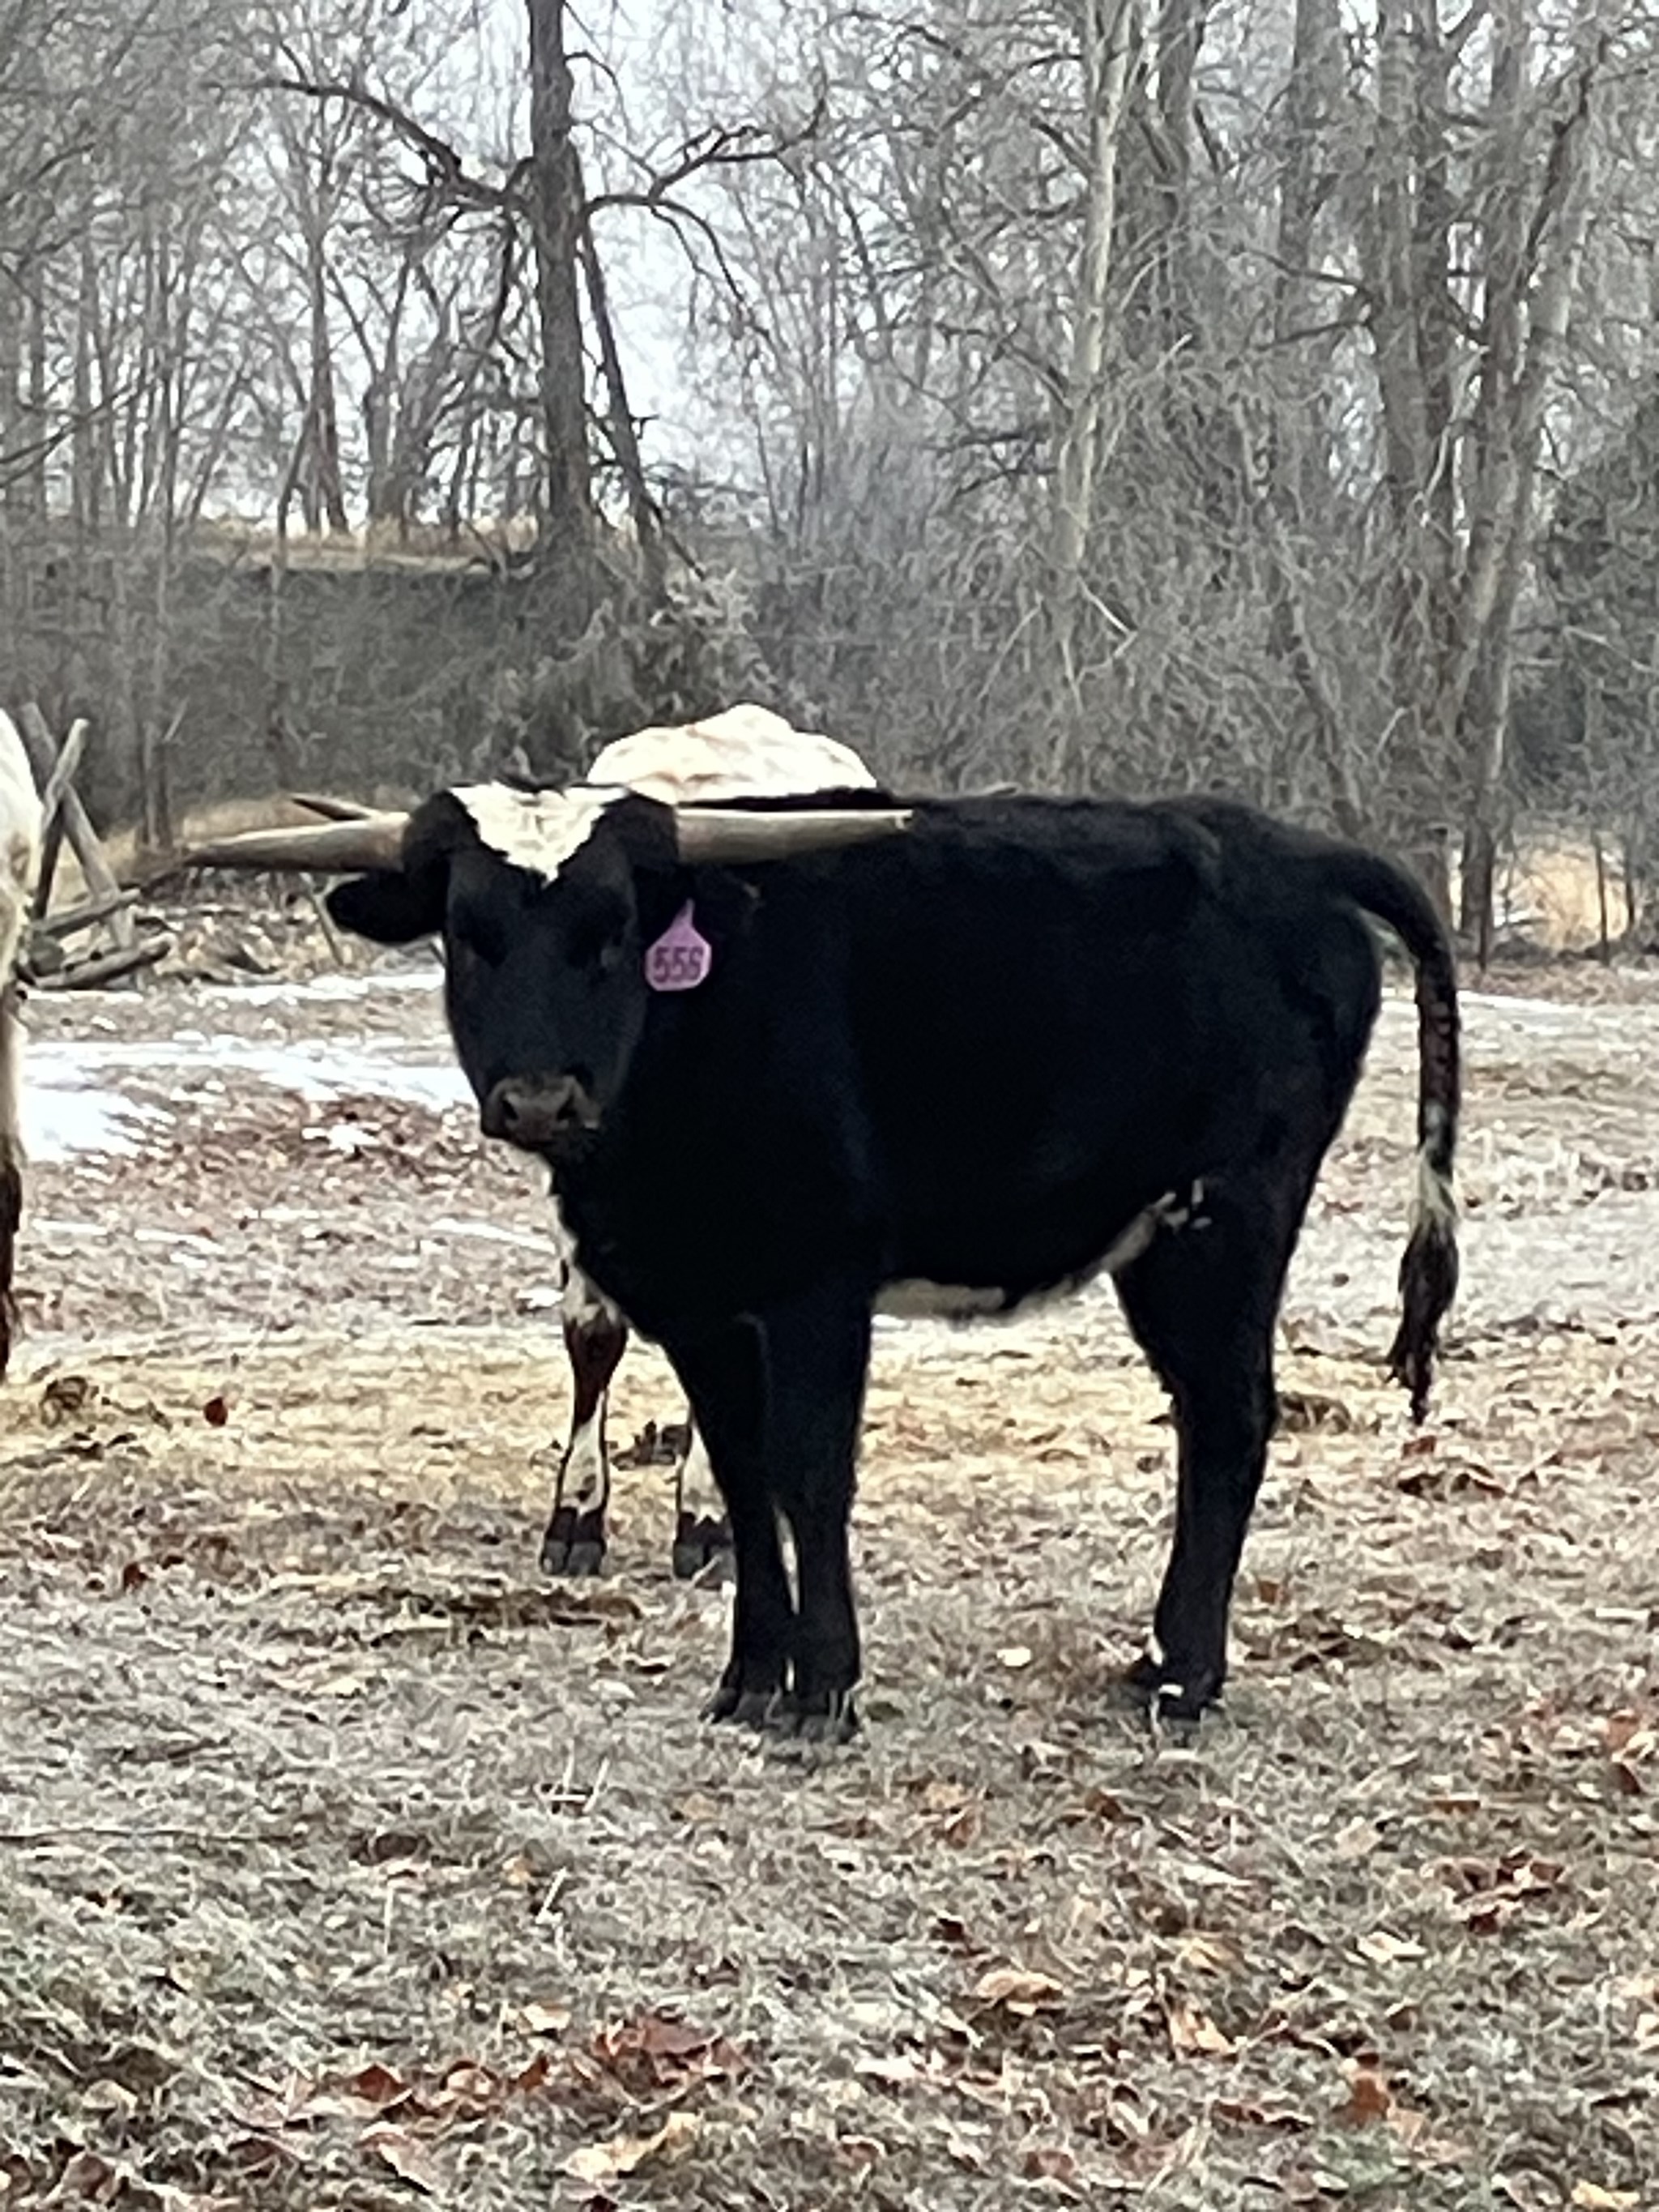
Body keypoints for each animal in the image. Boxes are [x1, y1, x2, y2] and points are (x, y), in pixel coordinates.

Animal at [192, 757, 1460, 1739]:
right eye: (469, 933)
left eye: (615, 931)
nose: (541, 1099)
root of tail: (1290, 851)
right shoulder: (697, 1303)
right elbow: (741, 1473)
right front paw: (752, 1676)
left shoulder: (818, 1289)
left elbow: (810, 1474)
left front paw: (825, 1688)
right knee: (1206, 1423)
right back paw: (1158, 1662)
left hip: (1223, 1224)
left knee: (1231, 1426)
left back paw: (1182, 1679)